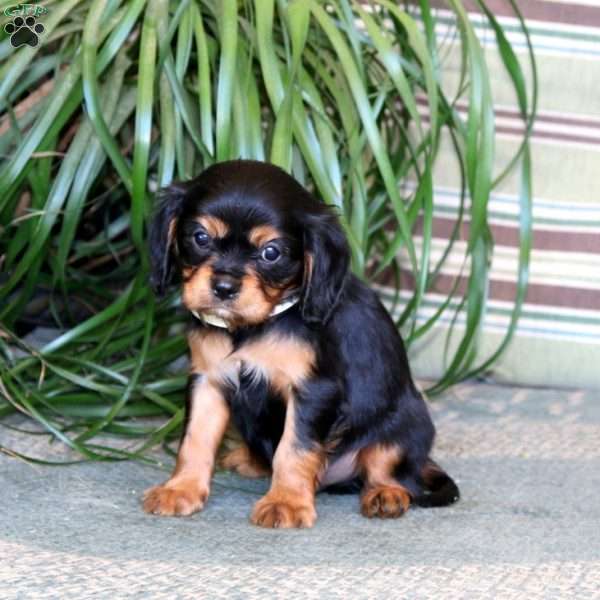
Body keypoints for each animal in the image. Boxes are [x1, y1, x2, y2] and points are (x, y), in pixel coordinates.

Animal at [142, 161, 460, 528]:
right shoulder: (208, 380)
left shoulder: (313, 391)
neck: (254, 326)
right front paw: (180, 489)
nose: (223, 287)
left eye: (271, 252)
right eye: (200, 237)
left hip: (405, 424)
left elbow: (295, 448)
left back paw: (386, 495)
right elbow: (195, 438)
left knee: (389, 467)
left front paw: (286, 502)